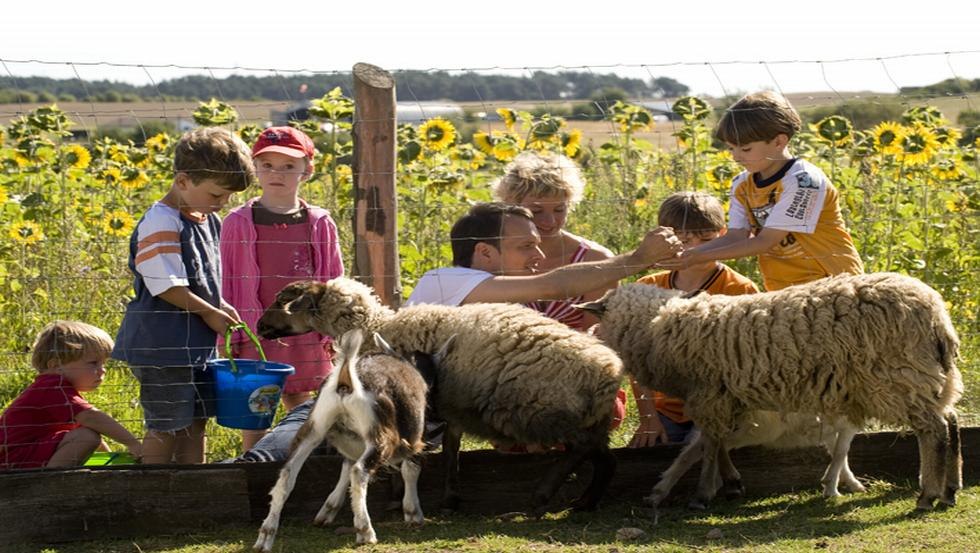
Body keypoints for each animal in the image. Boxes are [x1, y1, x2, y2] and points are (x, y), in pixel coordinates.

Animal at [253, 276, 620, 512]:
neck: (375, 328)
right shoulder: (450, 405)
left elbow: (426, 447)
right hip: (589, 420)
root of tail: (609, 373)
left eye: (283, 301)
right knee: (604, 458)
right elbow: (450, 450)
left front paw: (398, 494)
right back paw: (586, 502)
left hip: (543, 411)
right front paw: (450, 496)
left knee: (580, 450)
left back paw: (544, 493)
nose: (258, 326)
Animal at [256, 328, 428, 548]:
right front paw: (413, 513)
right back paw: (365, 531)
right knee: (359, 471)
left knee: (287, 475)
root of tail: (346, 380)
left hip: (315, 427)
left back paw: (266, 535)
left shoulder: (352, 445)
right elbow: (411, 469)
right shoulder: (413, 438)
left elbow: (345, 467)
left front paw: (328, 511)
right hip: (379, 436)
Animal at [580, 274, 964, 512]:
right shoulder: (728, 399)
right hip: (929, 378)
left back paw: (928, 495)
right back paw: (950, 489)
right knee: (951, 422)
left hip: (899, 378)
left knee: (933, 431)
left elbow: (710, 445)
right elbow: (715, 443)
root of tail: (937, 314)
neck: (659, 326)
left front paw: (703, 493)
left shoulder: (710, 395)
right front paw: (731, 482)